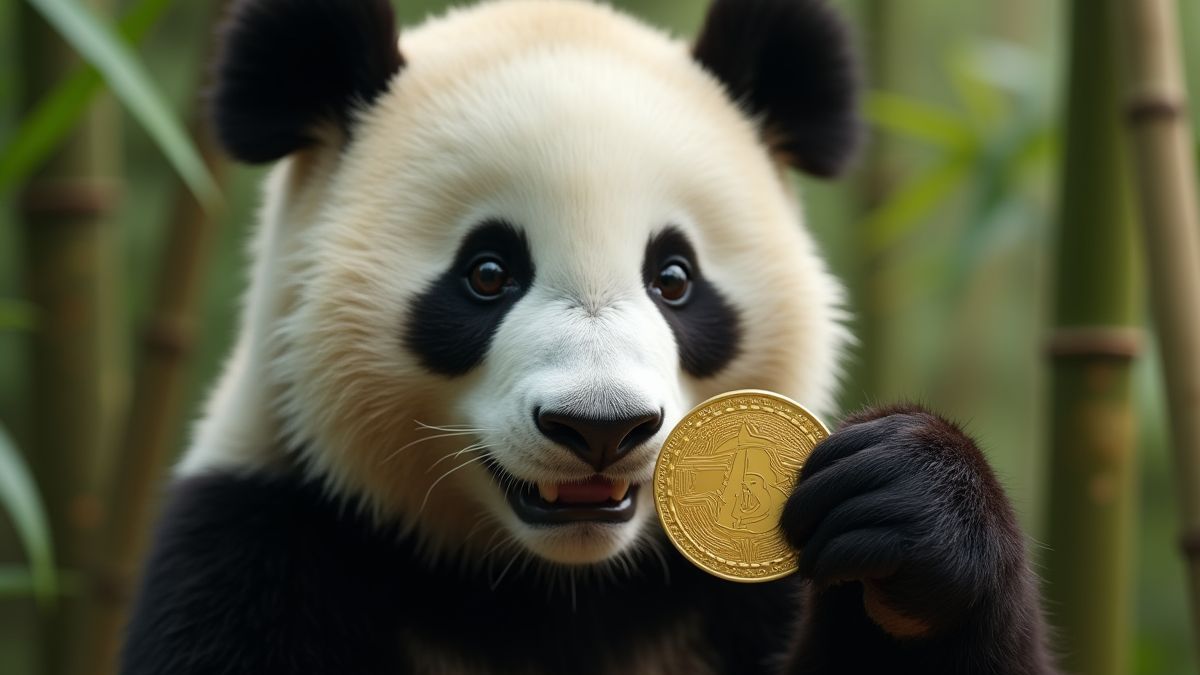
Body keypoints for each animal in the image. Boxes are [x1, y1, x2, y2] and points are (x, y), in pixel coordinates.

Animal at [121, 0, 1059, 673]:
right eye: (487, 273)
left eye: (674, 278)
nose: (600, 425)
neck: (556, 588)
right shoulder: (260, 543)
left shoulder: (726, 599)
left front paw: (910, 514)